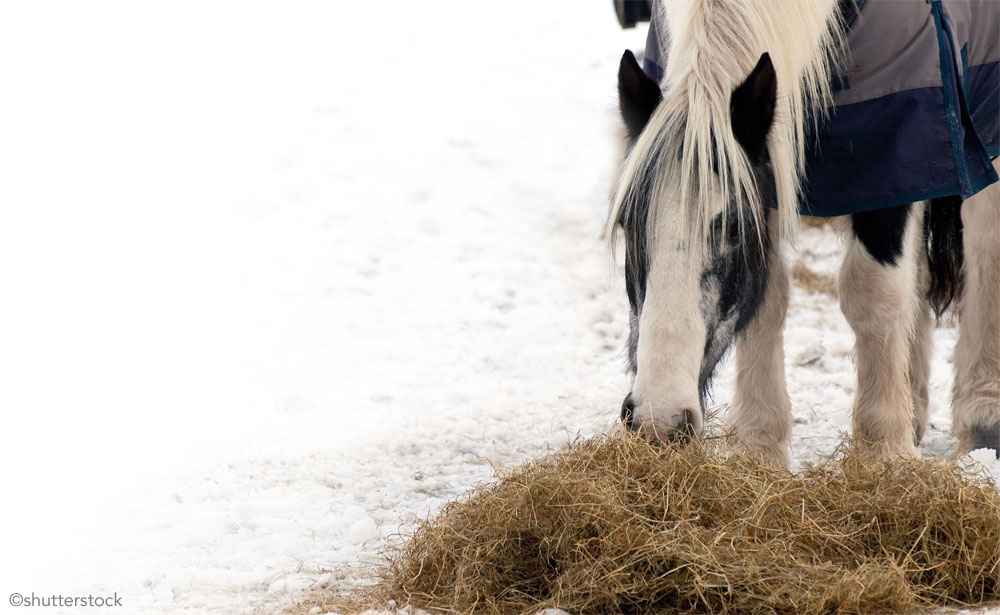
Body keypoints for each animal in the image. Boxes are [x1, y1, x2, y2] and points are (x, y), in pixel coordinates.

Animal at [604, 0, 996, 466]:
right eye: (628, 223)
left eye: (734, 227)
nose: (658, 420)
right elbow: (767, 299)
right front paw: (758, 448)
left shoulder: (889, 157)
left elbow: (873, 293)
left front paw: (881, 451)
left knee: (984, 242)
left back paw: (983, 414)